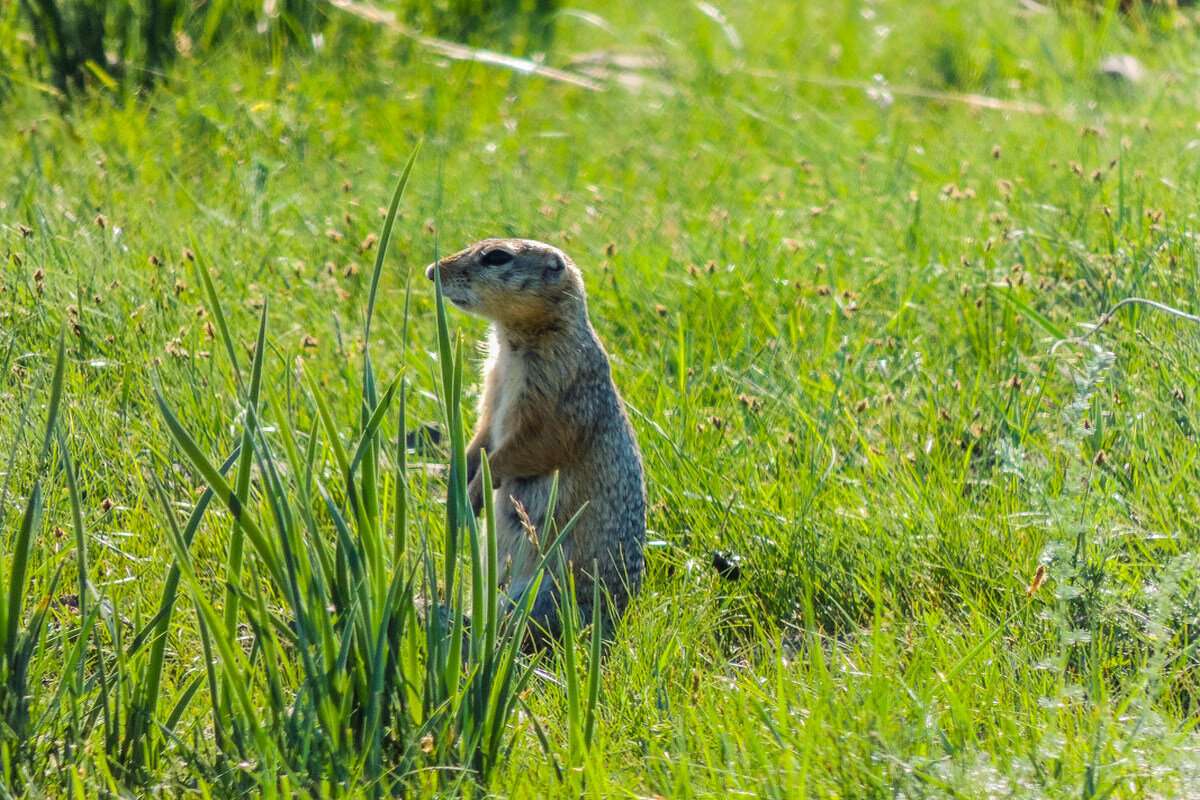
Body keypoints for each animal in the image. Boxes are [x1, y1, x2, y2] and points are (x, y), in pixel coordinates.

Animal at [424, 239, 648, 642]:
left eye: (497, 257)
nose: (432, 271)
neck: (513, 342)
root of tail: (614, 625)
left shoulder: (557, 388)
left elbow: (532, 446)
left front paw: (475, 490)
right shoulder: (492, 386)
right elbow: (482, 435)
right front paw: (455, 479)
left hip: (543, 591)